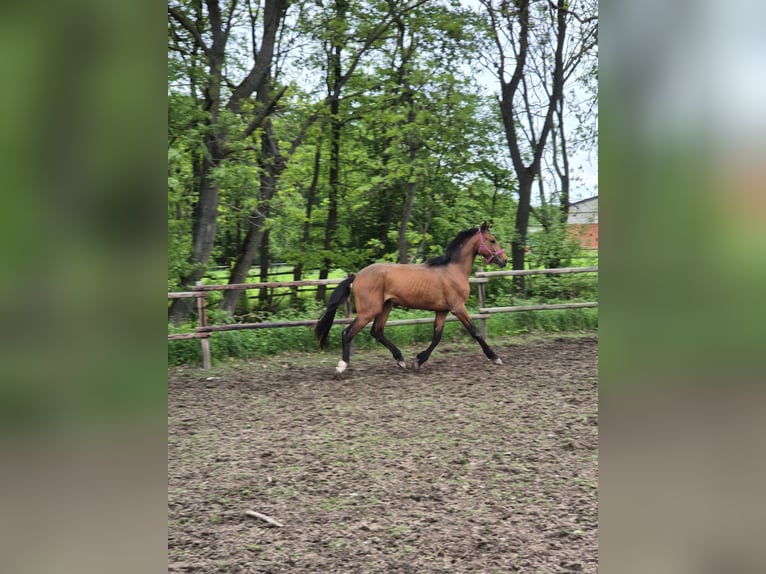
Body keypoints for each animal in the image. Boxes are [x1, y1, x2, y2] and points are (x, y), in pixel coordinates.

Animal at [314, 221, 508, 375]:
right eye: (492, 240)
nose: (504, 260)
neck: (454, 270)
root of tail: (356, 276)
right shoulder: (458, 308)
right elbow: (475, 331)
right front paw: (495, 357)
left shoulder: (442, 311)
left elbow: (437, 336)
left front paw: (418, 360)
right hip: (369, 311)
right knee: (348, 333)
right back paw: (341, 366)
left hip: (385, 307)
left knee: (377, 331)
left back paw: (400, 360)